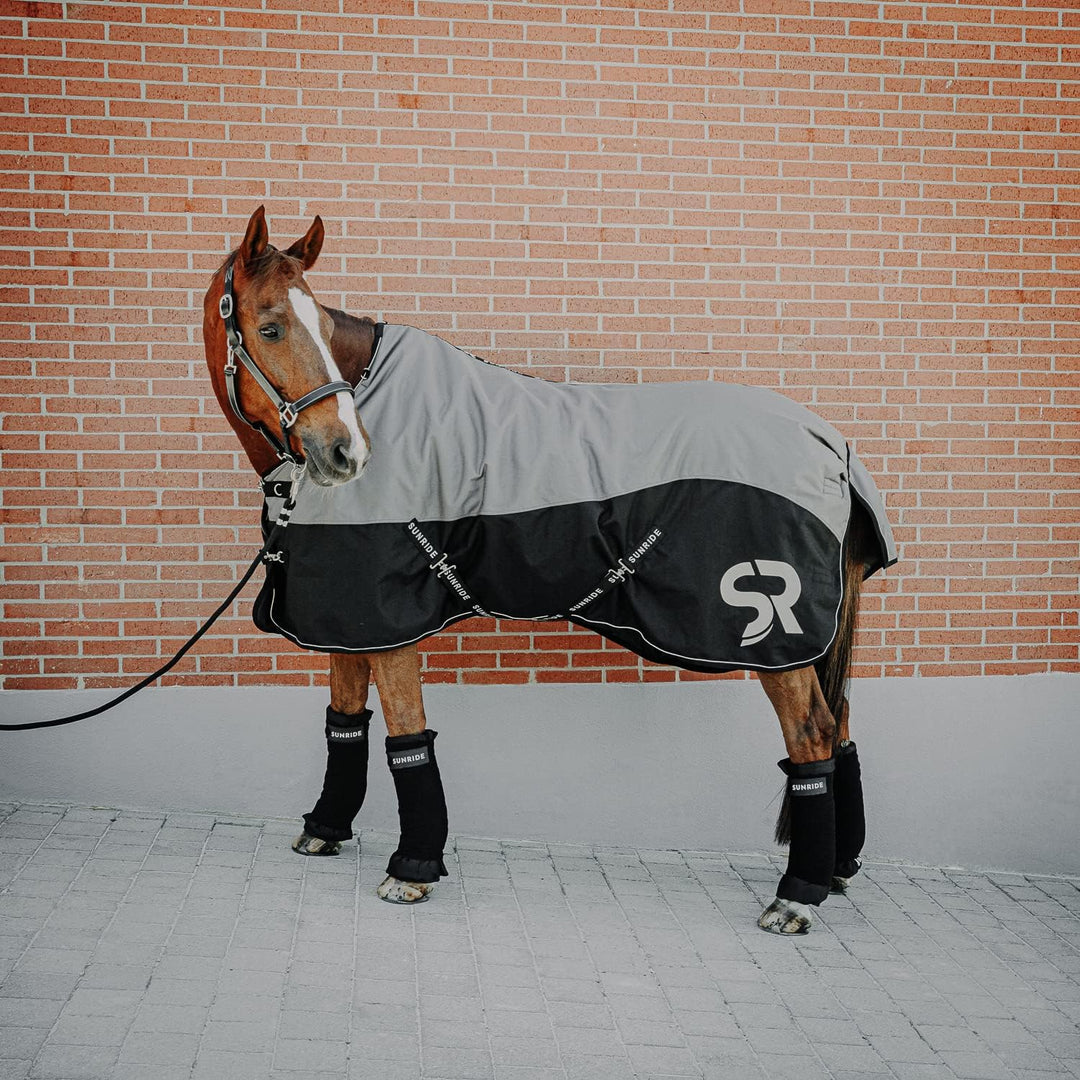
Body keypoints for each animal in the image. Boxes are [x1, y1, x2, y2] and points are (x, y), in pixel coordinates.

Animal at [201, 207, 896, 934]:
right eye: (272, 327)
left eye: (325, 333)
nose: (347, 452)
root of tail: (833, 446)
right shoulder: (347, 615)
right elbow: (345, 720)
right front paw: (326, 830)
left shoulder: (388, 618)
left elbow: (405, 733)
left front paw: (412, 867)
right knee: (841, 727)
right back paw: (835, 871)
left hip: (776, 635)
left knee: (813, 735)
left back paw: (796, 894)